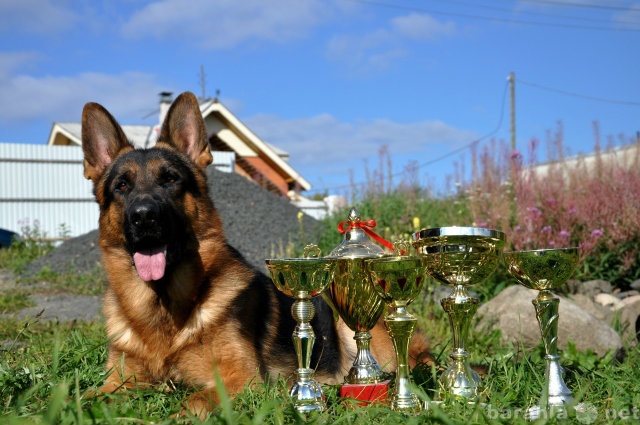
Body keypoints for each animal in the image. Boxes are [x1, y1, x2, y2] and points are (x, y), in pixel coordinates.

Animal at [81, 92, 430, 414]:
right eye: (121, 186)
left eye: (170, 179)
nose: (143, 216)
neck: (163, 312)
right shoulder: (118, 381)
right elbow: (81, 397)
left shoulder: (240, 380)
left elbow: (193, 401)